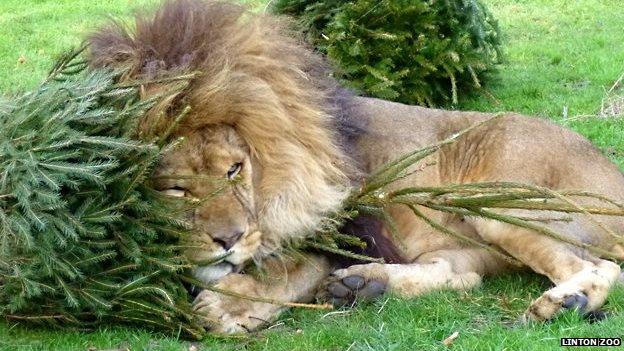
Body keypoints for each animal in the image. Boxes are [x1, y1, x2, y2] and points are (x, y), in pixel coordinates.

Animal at [86, 0, 624, 336]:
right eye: (175, 189)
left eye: (235, 170)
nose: (229, 239)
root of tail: (613, 178)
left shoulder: (331, 228)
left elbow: (280, 271)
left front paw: (229, 305)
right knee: (461, 275)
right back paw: (365, 286)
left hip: (499, 203)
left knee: (599, 266)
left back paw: (566, 302)